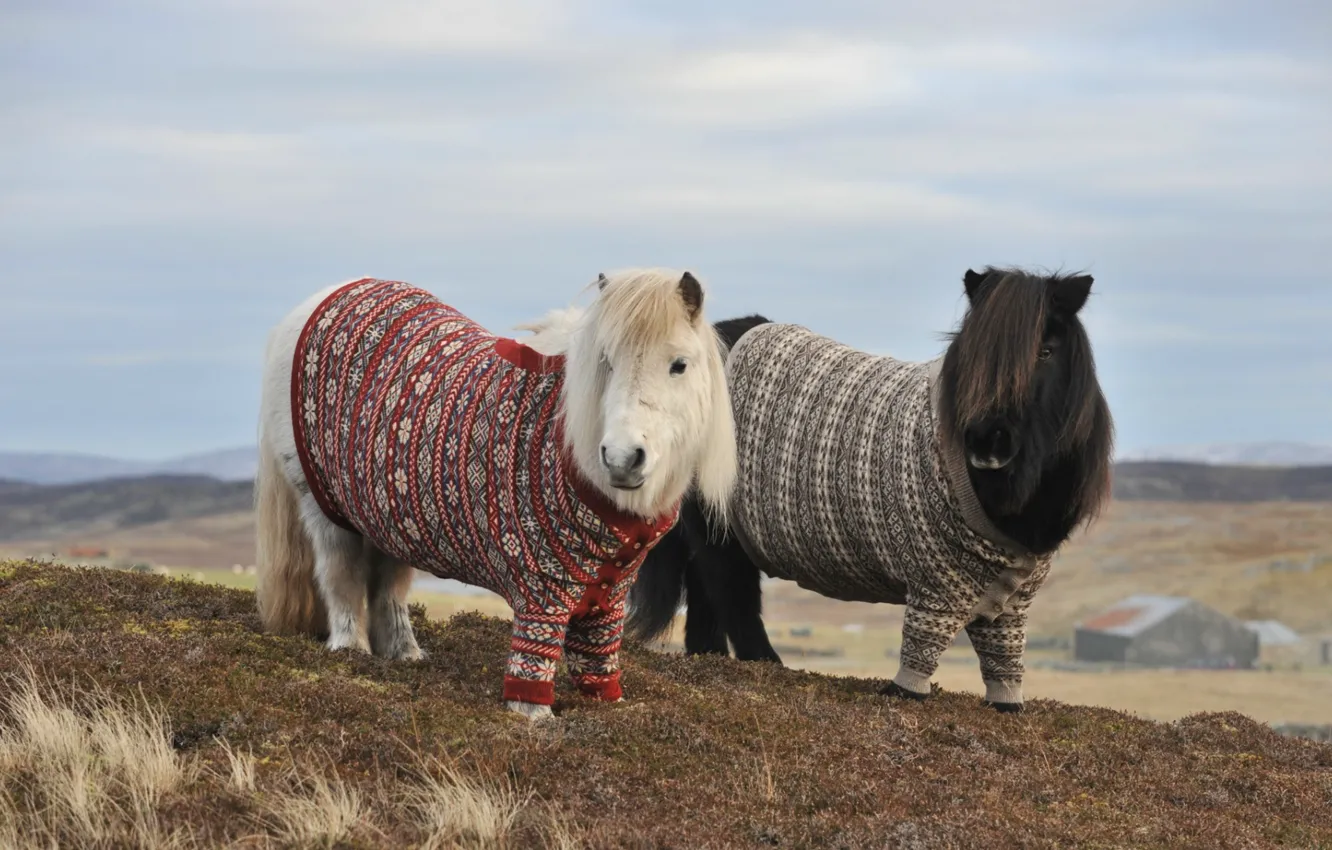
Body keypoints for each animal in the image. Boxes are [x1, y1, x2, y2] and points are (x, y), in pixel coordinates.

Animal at [254, 269, 737, 720]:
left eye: (679, 364)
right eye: (606, 361)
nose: (621, 459)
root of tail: (324, 298)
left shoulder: (609, 595)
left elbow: (598, 660)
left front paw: (607, 705)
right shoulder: (542, 590)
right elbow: (534, 663)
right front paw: (535, 717)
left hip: (388, 517)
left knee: (388, 587)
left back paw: (405, 654)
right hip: (324, 509)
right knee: (341, 576)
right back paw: (350, 651)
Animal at [628, 267, 1114, 712]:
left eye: (1046, 351)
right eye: (972, 353)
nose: (986, 442)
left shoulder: (1012, 603)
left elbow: (1004, 661)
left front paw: (1007, 704)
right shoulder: (934, 587)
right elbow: (920, 653)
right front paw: (905, 694)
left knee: (707, 595)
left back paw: (710, 658)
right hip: (720, 528)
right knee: (733, 596)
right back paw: (766, 664)